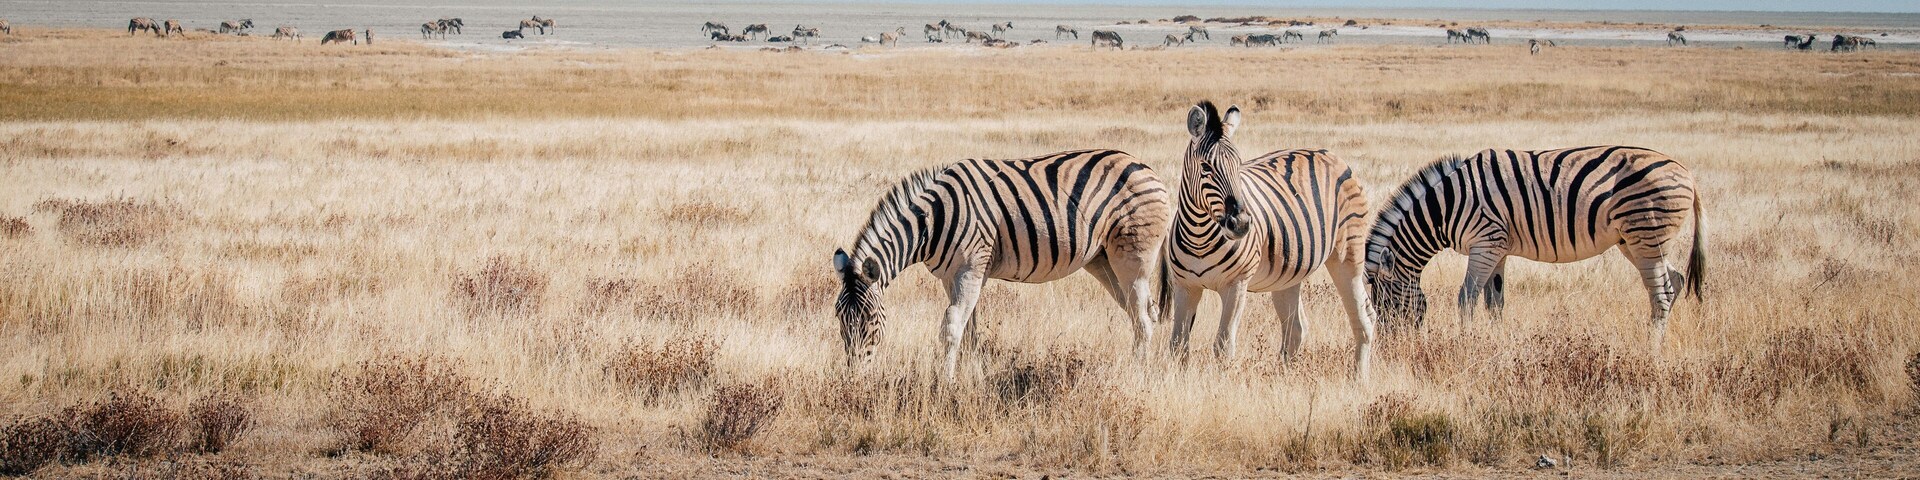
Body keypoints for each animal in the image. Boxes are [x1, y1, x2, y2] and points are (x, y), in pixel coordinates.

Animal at [832, 150, 1172, 380]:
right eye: (839, 318)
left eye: (869, 319)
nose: (853, 378)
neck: (933, 220)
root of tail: (1147, 167)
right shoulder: (955, 276)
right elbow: (969, 329)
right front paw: (970, 374)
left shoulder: (970, 270)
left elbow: (952, 326)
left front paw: (945, 381)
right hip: (1104, 261)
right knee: (1144, 313)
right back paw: (1146, 366)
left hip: (1133, 257)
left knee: (1142, 319)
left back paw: (1136, 375)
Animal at [1163, 102, 1375, 380]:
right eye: (1206, 167)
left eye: (1239, 166)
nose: (1241, 224)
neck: (1200, 235)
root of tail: (1329, 153)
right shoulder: (1185, 285)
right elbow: (1177, 345)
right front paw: (1179, 382)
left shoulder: (1236, 284)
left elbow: (1223, 345)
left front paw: (1220, 384)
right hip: (1289, 272)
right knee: (1296, 328)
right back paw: (1285, 377)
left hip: (1347, 255)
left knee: (1363, 318)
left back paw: (1359, 378)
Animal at [1365, 146, 1706, 354]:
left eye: (1386, 304)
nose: (1393, 347)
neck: (1446, 207)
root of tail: (1688, 173)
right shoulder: (1497, 248)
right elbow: (1494, 302)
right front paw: (1495, 342)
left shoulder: (1484, 243)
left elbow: (1466, 297)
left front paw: (1466, 343)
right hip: (1635, 241)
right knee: (1674, 281)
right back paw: (1661, 341)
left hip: (1645, 232)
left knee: (1661, 292)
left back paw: (1651, 350)